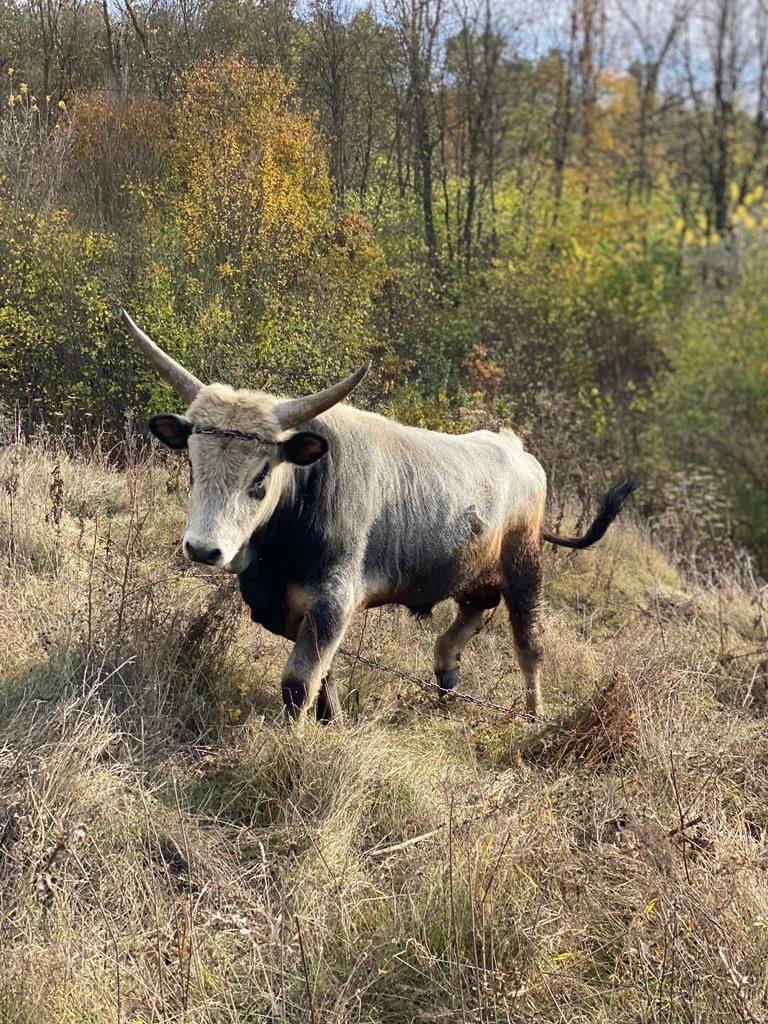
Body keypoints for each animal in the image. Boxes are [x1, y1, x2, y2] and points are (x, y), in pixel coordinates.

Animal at [121, 311, 638, 720]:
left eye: (261, 476)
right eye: (193, 464)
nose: (203, 549)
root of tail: (516, 448)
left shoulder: (334, 598)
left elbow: (298, 682)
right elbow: (321, 670)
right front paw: (333, 716)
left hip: (525, 567)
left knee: (529, 643)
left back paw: (533, 715)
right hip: (473, 569)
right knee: (473, 610)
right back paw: (446, 672)